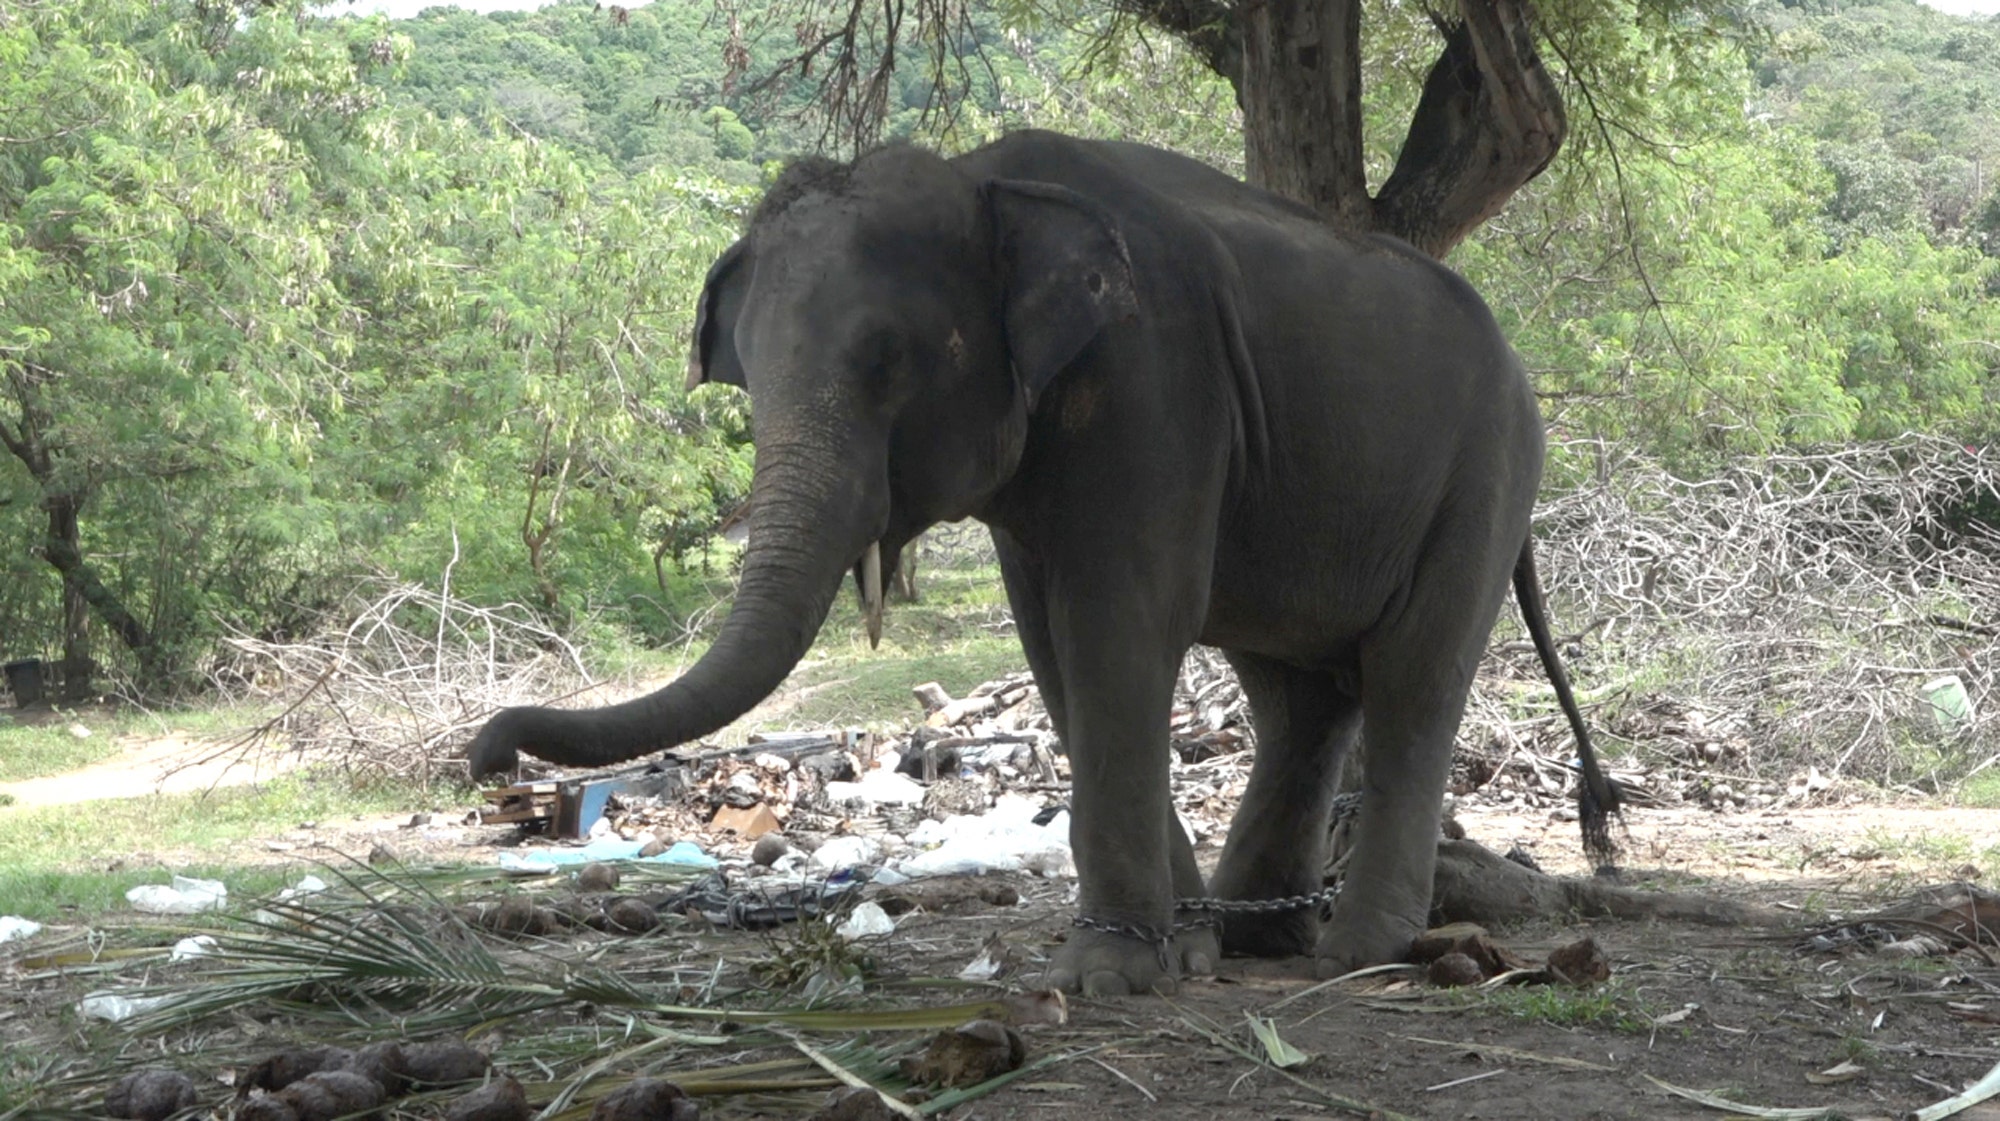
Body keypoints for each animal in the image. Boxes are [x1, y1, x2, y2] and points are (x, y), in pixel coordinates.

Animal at [466, 129, 1620, 997]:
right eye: (744, 378)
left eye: (885, 360)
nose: (487, 754)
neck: (983, 179)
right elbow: (1055, 647)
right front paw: (1176, 948)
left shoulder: (1155, 377)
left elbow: (1121, 623)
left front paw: (1106, 975)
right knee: (1300, 693)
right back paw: (1257, 936)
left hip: (1487, 475)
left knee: (1411, 674)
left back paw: (1356, 954)